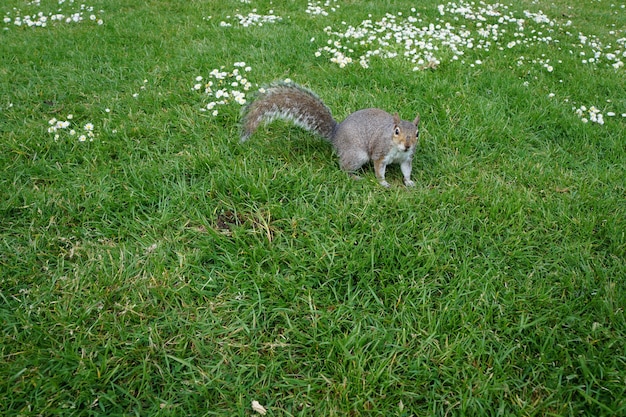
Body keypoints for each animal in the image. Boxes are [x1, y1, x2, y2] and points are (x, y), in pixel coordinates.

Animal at [239, 82, 420, 186]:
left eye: (417, 133)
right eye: (396, 131)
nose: (407, 145)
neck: (397, 150)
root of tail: (336, 133)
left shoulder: (407, 158)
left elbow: (406, 170)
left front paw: (409, 181)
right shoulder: (380, 153)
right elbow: (379, 170)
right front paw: (383, 183)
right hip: (356, 154)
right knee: (344, 168)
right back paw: (355, 177)